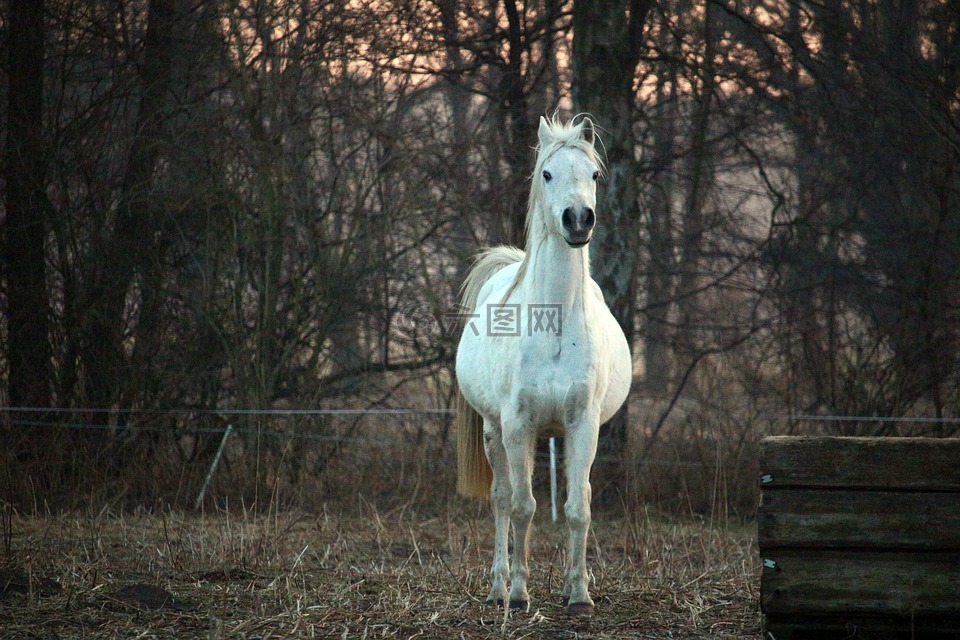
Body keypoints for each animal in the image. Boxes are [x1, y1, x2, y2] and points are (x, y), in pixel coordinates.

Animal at [454, 115, 632, 617]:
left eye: (594, 175)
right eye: (548, 174)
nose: (578, 219)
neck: (552, 324)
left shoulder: (582, 424)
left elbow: (578, 508)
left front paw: (580, 594)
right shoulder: (518, 425)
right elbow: (522, 507)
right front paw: (518, 593)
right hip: (494, 430)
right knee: (500, 500)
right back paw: (497, 588)